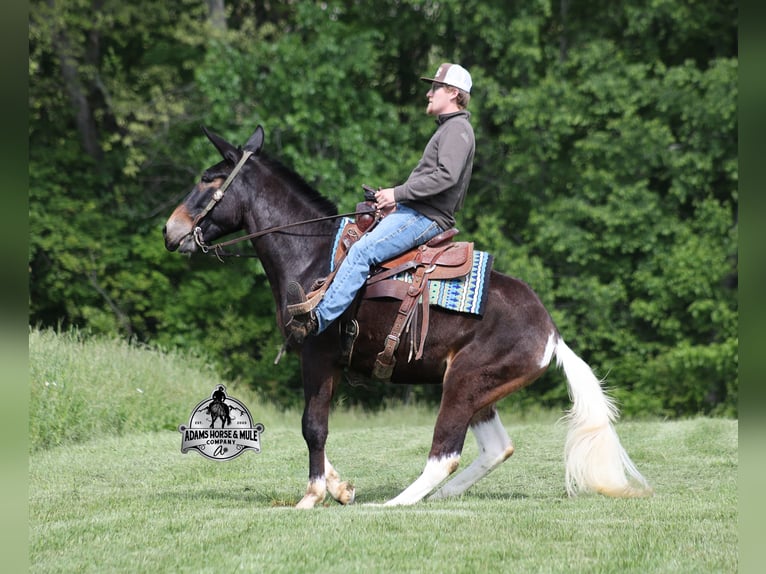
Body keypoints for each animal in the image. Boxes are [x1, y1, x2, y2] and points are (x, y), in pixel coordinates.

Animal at [163, 125, 652, 508]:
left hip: (462, 383)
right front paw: (340, 488)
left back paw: (397, 502)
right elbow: (313, 427)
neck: (314, 255)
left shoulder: (317, 357)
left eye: (208, 180)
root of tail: (551, 333)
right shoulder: (328, 364)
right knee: (498, 448)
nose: (170, 231)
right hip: (480, 392)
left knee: (445, 454)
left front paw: (313, 495)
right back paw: (442, 496)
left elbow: (312, 427)